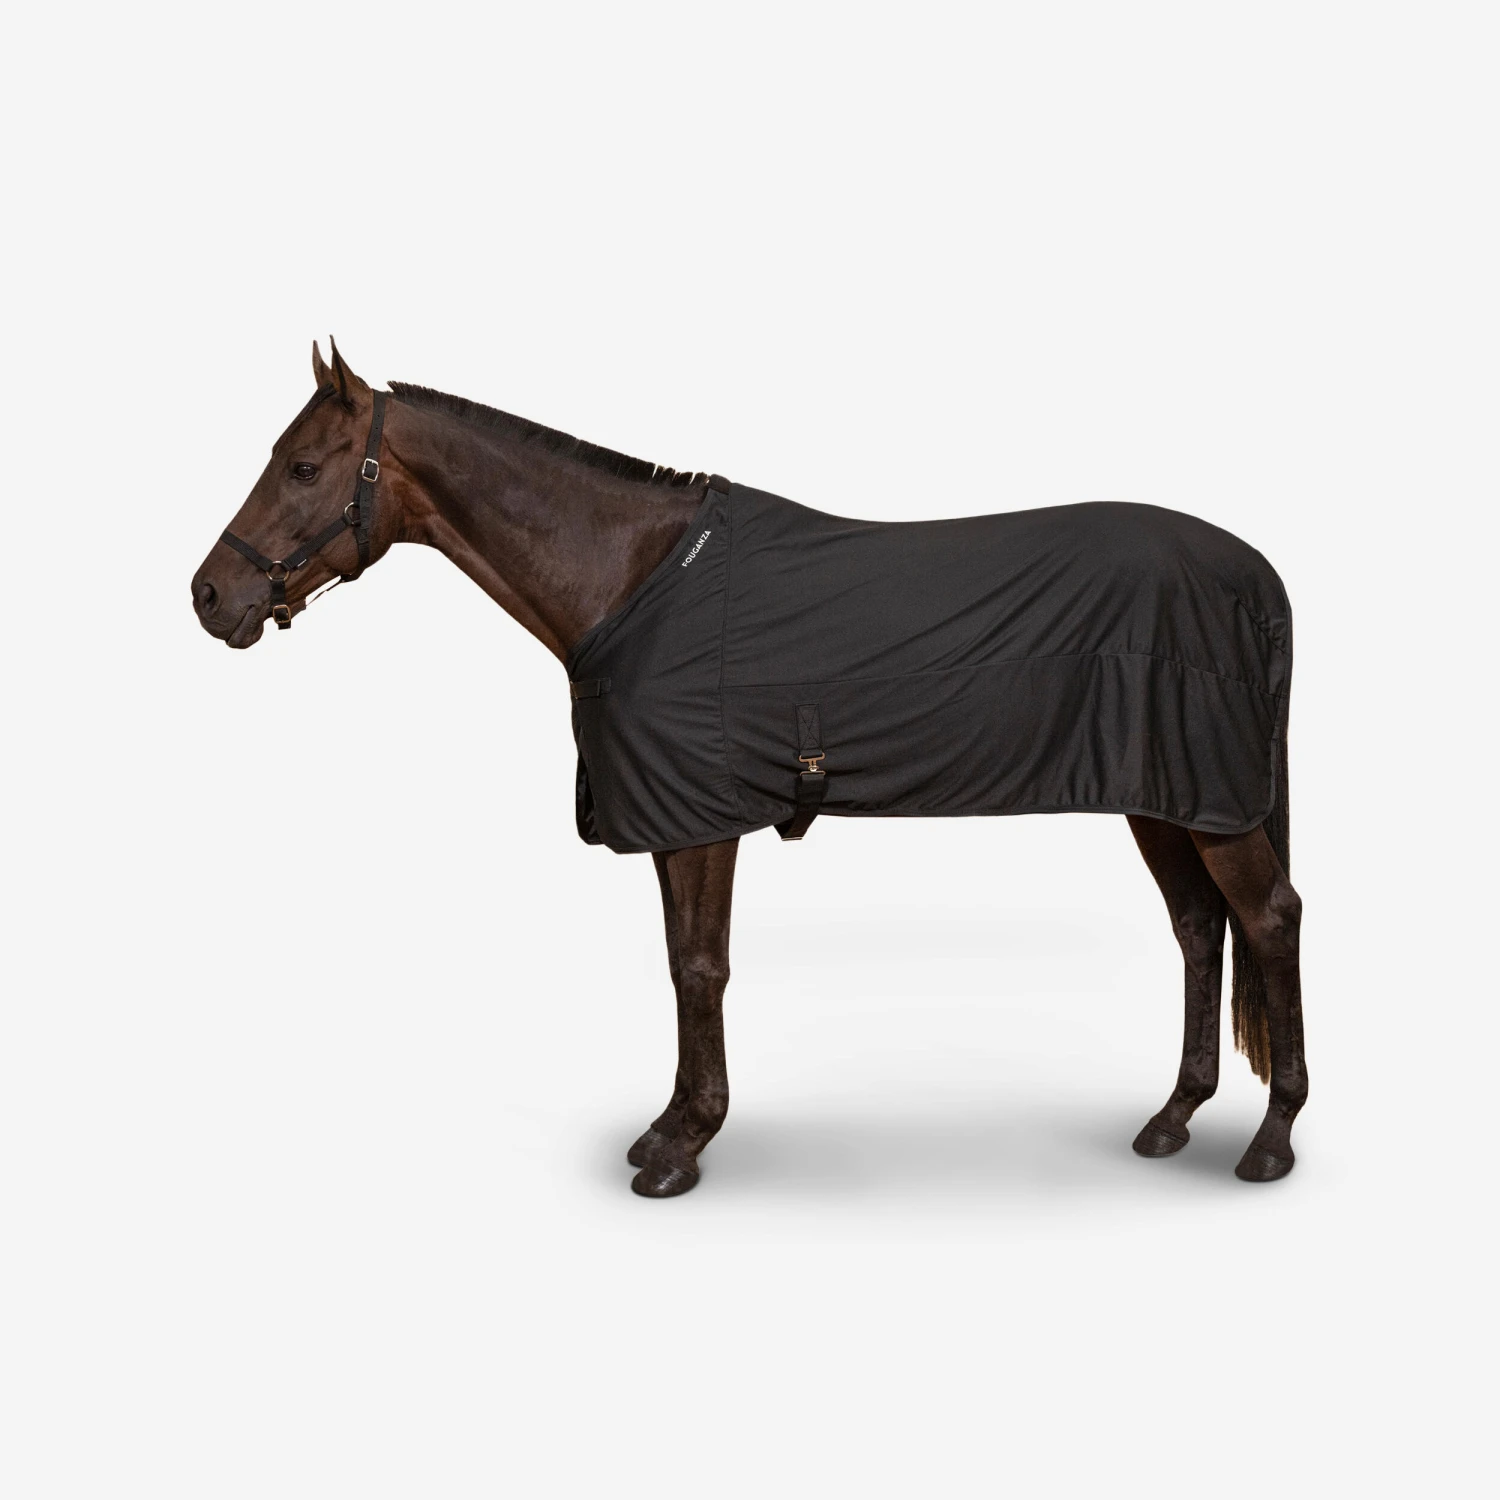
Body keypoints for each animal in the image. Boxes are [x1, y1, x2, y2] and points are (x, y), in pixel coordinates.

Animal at [191, 341, 1307, 1198]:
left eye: (302, 467)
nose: (208, 596)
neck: (631, 581)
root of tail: (1256, 576)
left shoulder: (701, 817)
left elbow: (700, 967)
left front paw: (681, 1147)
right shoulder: (674, 820)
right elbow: (683, 964)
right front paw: (672, 1127)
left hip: (1215, 803)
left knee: (1267, 920)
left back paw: (1269, 1141)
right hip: (1164, 798)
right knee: (1200, 929)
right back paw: (1172, 1119)